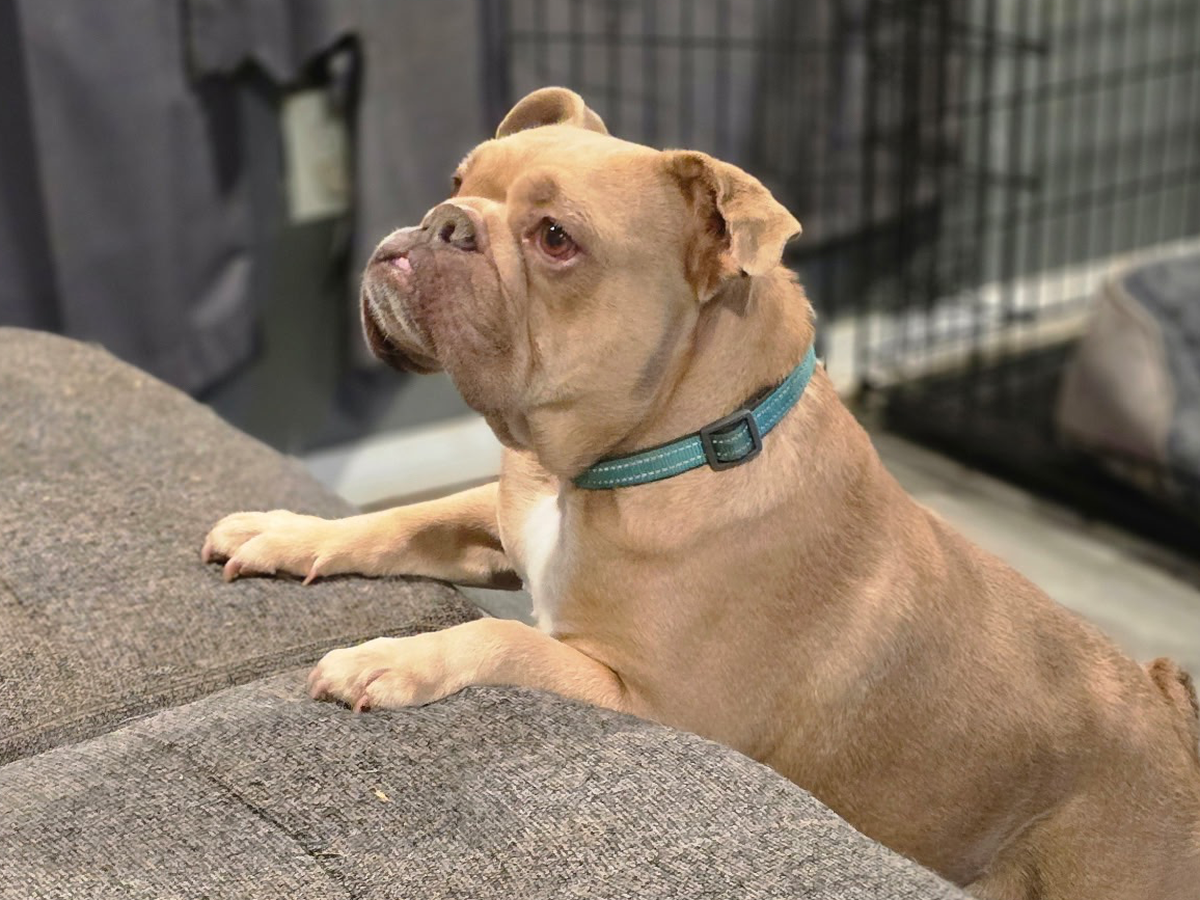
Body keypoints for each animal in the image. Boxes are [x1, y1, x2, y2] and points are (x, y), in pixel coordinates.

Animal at [203, 88, 1200, 898]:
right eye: (459, 179)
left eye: (555, 239)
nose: (444, 219)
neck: (640, 457)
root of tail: (1170, 716)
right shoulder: (502, 517)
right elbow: (397, 519)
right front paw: (282, 529)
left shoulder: (645, 700)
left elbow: (500, 638)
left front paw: (387, 660)